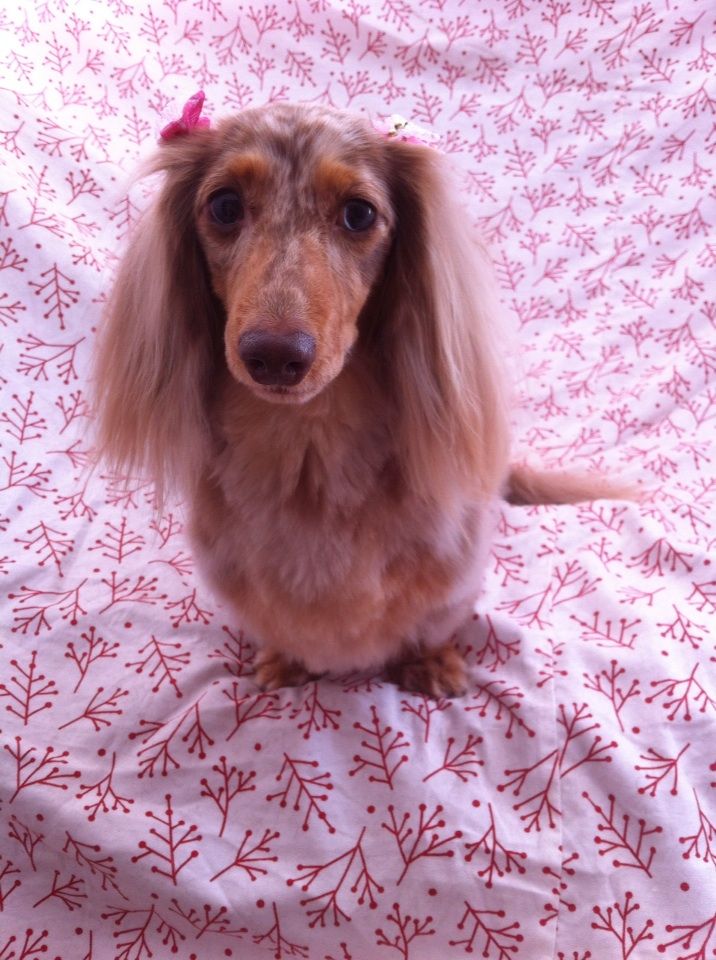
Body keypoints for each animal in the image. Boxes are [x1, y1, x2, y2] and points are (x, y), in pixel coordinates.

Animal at [94, 98, 624, 698]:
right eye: (225, 205)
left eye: (359, 214)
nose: (274, 355)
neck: (309, 452)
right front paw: (286, 659)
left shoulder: (454, 572)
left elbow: (430, 620)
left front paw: (428, 662)